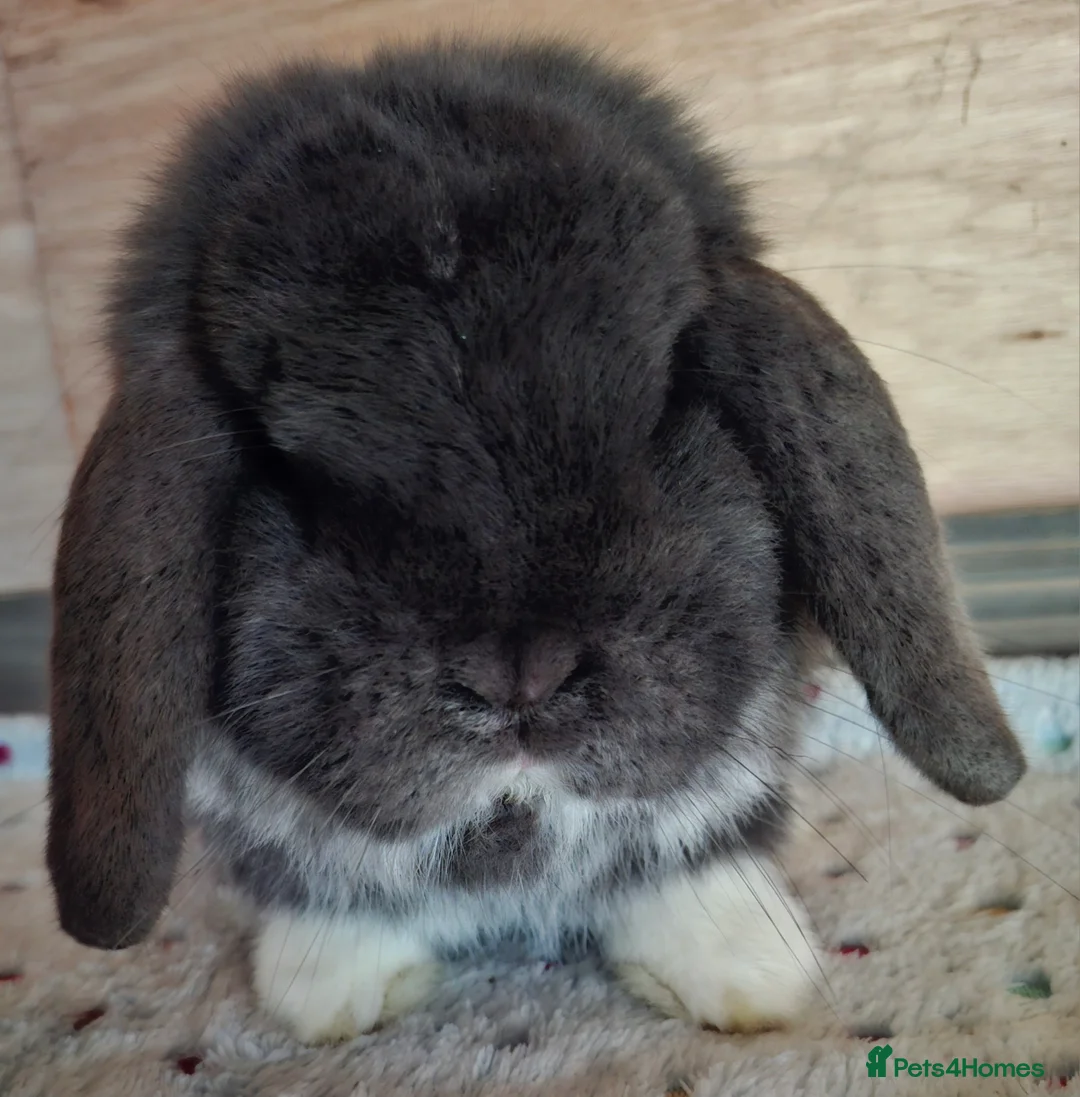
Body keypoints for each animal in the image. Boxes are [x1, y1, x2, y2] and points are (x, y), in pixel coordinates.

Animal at [46, 37, 1026, 1045]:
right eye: (286, 464)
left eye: (663, 407)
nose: (520, 674)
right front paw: (332, 991)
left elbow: (692, 852)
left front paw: (742, 969)